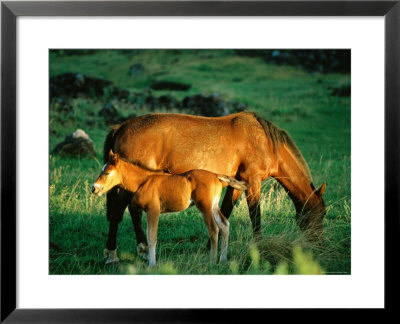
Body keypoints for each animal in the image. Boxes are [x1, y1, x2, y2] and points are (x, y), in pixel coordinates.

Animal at [94, 149, 250, 266]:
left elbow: (152, 237)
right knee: (224, 224)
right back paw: (223, 259)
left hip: (205, 207)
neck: (144, 181)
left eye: (107, 172)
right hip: (213, 206)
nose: (94, 188)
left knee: (213, 229)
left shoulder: (153, 211)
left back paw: (211, 262)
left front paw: (152, 264)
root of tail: (216, 175)